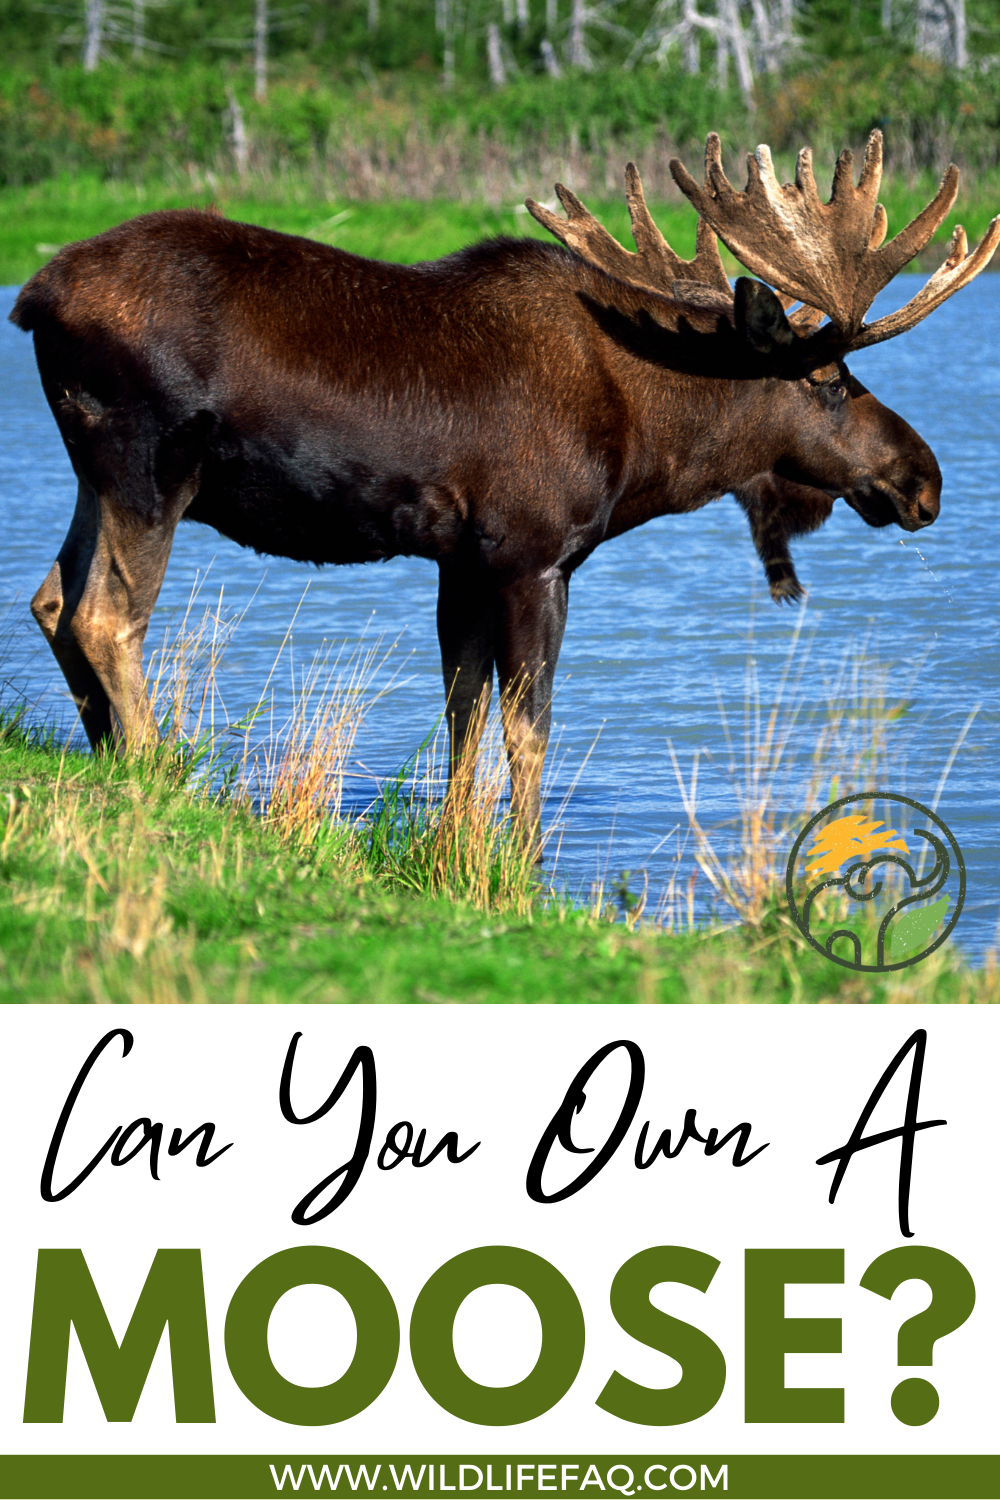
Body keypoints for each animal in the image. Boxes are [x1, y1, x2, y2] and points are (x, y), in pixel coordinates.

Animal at [10, 132, 999, 850]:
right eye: (830, 379)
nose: (925, 479)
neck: (652, 439)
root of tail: (31, 296)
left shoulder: (462, 560)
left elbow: (464, 714)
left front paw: (454, 853)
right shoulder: (533, 556)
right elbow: (529, 727)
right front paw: (522, 865)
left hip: (93, 471)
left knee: (52, 597)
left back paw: (109, 760)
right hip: (150, 464)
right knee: (107, 614)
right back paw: (155, 774)